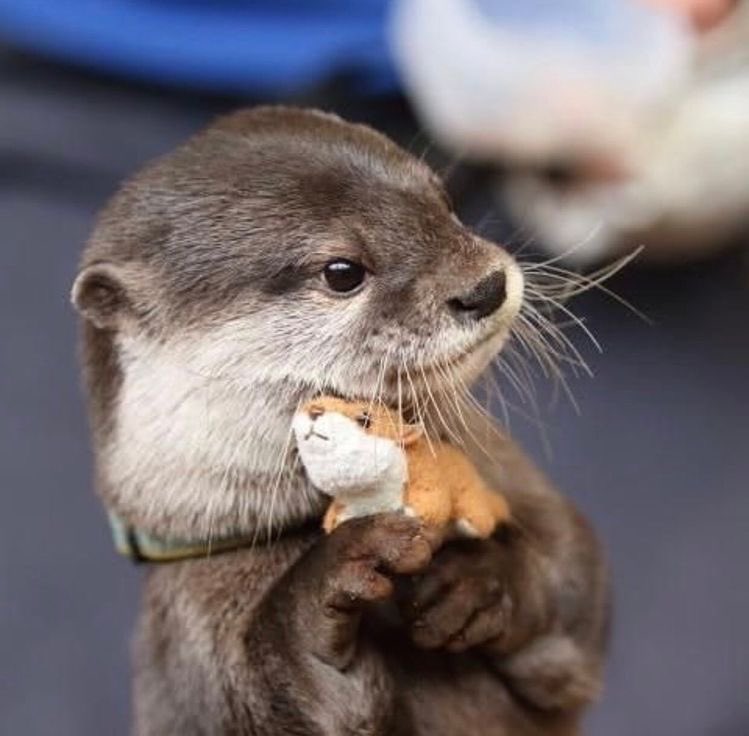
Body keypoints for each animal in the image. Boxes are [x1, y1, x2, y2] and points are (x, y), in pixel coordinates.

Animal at [71, 107, 608, 735]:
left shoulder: (513, 479)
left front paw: (480, 580)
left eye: (444, 199)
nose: (486, 286)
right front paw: (331, 580)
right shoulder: (191, 642)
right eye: (342, 271)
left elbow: (576, 579)